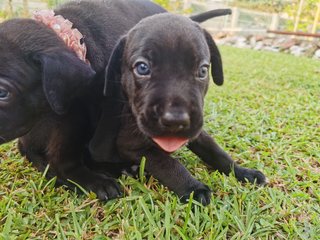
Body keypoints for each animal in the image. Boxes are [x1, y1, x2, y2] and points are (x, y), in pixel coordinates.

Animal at [100, 13, 268, 204]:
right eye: (142, 68)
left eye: (203, 71)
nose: (175, 120)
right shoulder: (132, 145)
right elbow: (169, 164)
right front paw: (194, 189)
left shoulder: (198, 132)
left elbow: (217, 153)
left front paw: (242, 172)